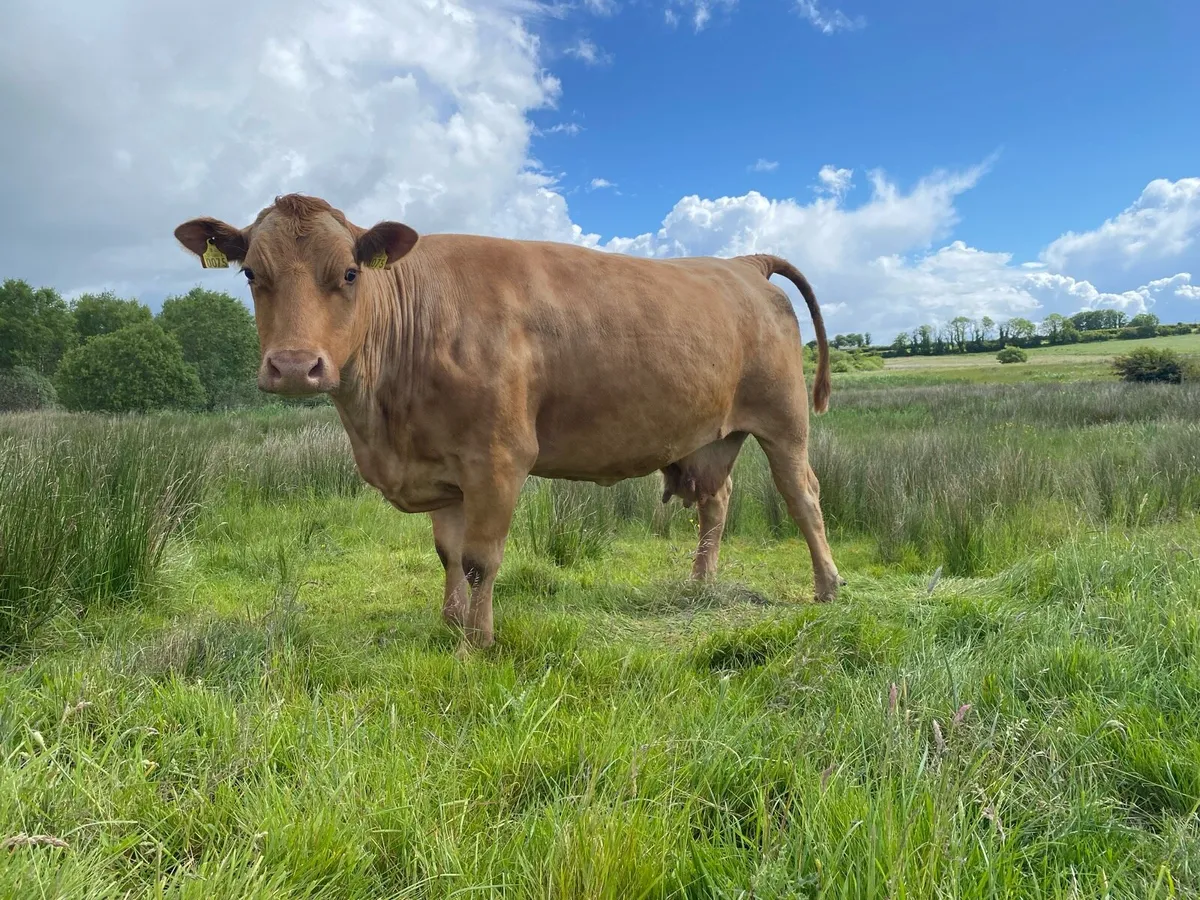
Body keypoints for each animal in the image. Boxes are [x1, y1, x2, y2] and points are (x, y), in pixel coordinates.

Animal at [174, 194, 842, 649]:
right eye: (251, 273)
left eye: (349, 273)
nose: (293, 366)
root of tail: (742, 262)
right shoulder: (442, 467)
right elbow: (447, 552)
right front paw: (449, 622)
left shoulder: (498, 459)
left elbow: (480, 559)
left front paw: (478, 641)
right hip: (713, 435)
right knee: (716, 503)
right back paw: (700, 587)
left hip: (784, 422)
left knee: (803, 496)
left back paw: (828, 586)